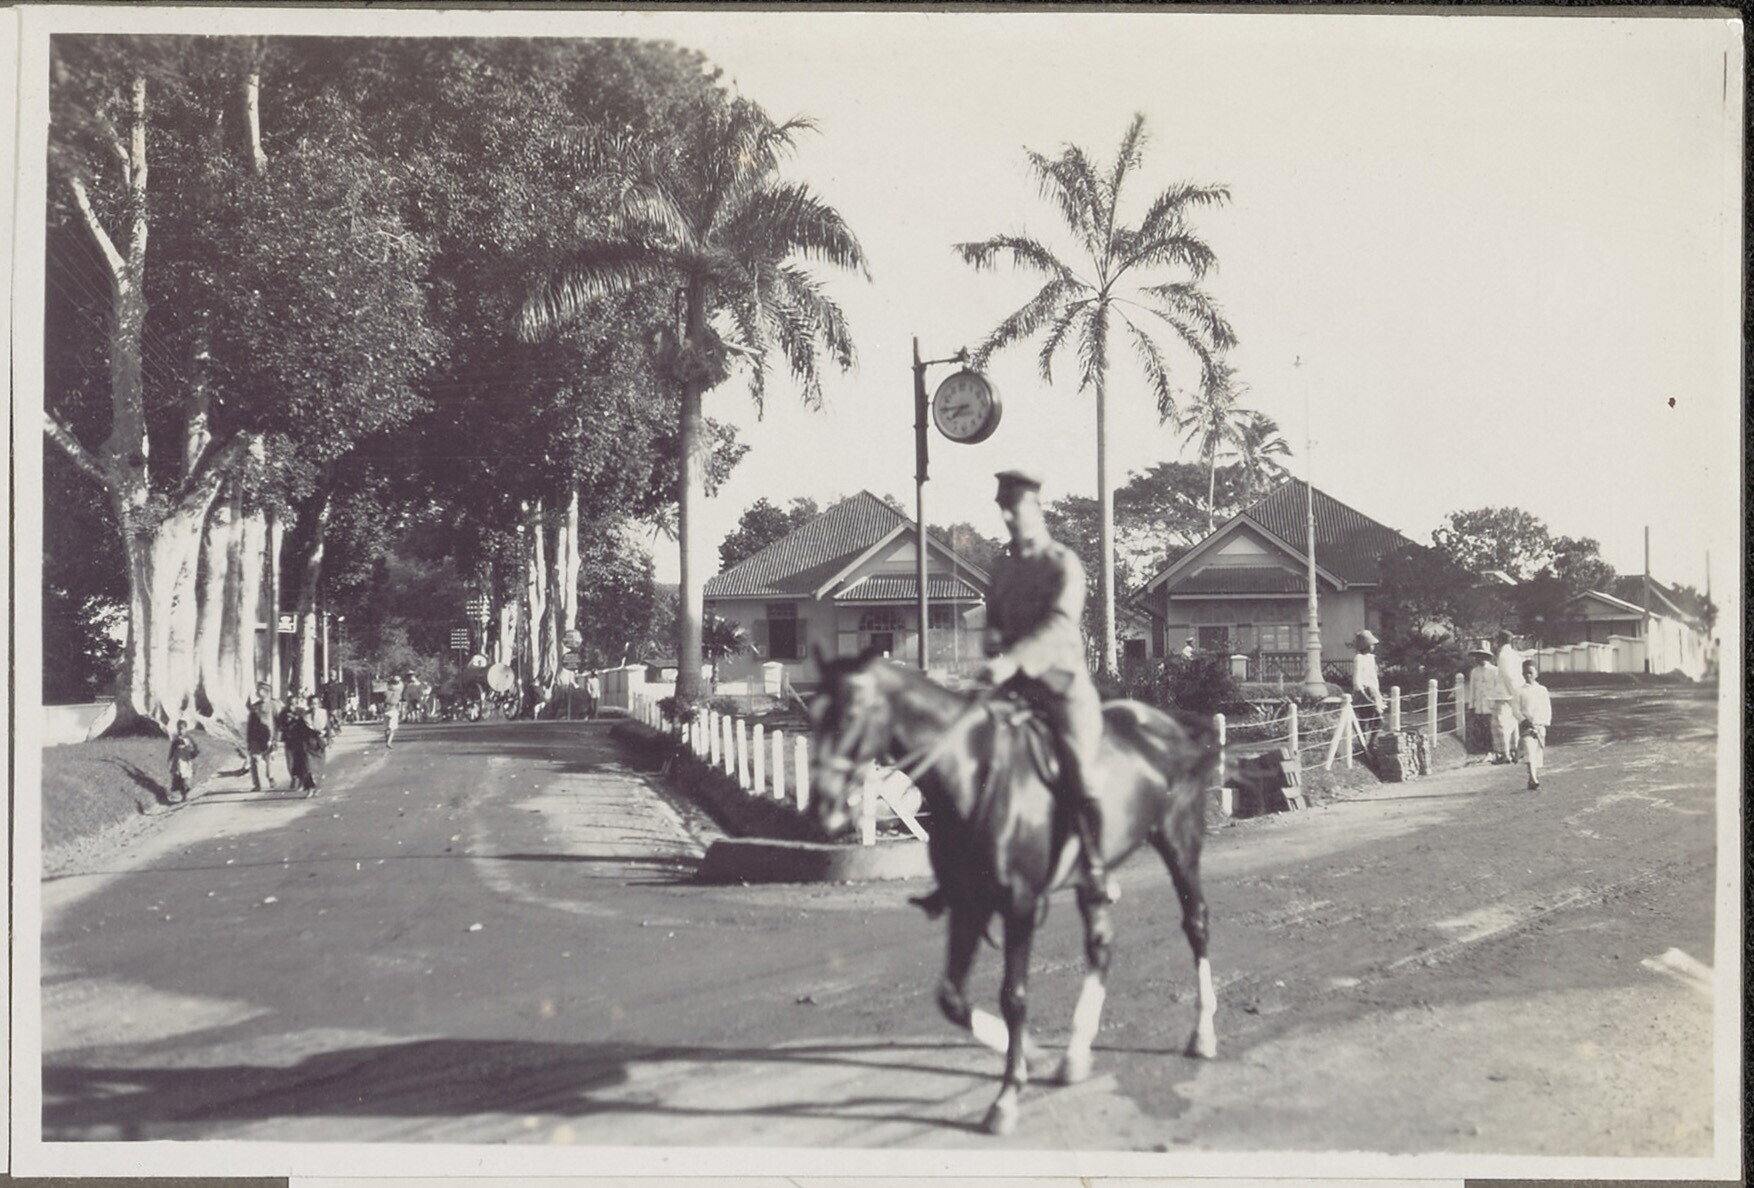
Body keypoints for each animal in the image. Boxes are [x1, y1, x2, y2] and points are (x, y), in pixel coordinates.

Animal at [807, 648, 1221, 1136]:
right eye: (813, 712)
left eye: (850, 713)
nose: (821, 808)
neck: (973, 777)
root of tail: (1168, 723)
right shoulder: (968, 905)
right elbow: (951, 997)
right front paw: (1029, 1054)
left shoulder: (1019, 906)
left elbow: (1014, 996)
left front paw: (1006, 1097)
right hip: (1092, 877)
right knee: (1101, 945)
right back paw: (1074, 1055)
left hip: (1180, 842)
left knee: (1196, 924)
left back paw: (1202, 1034)